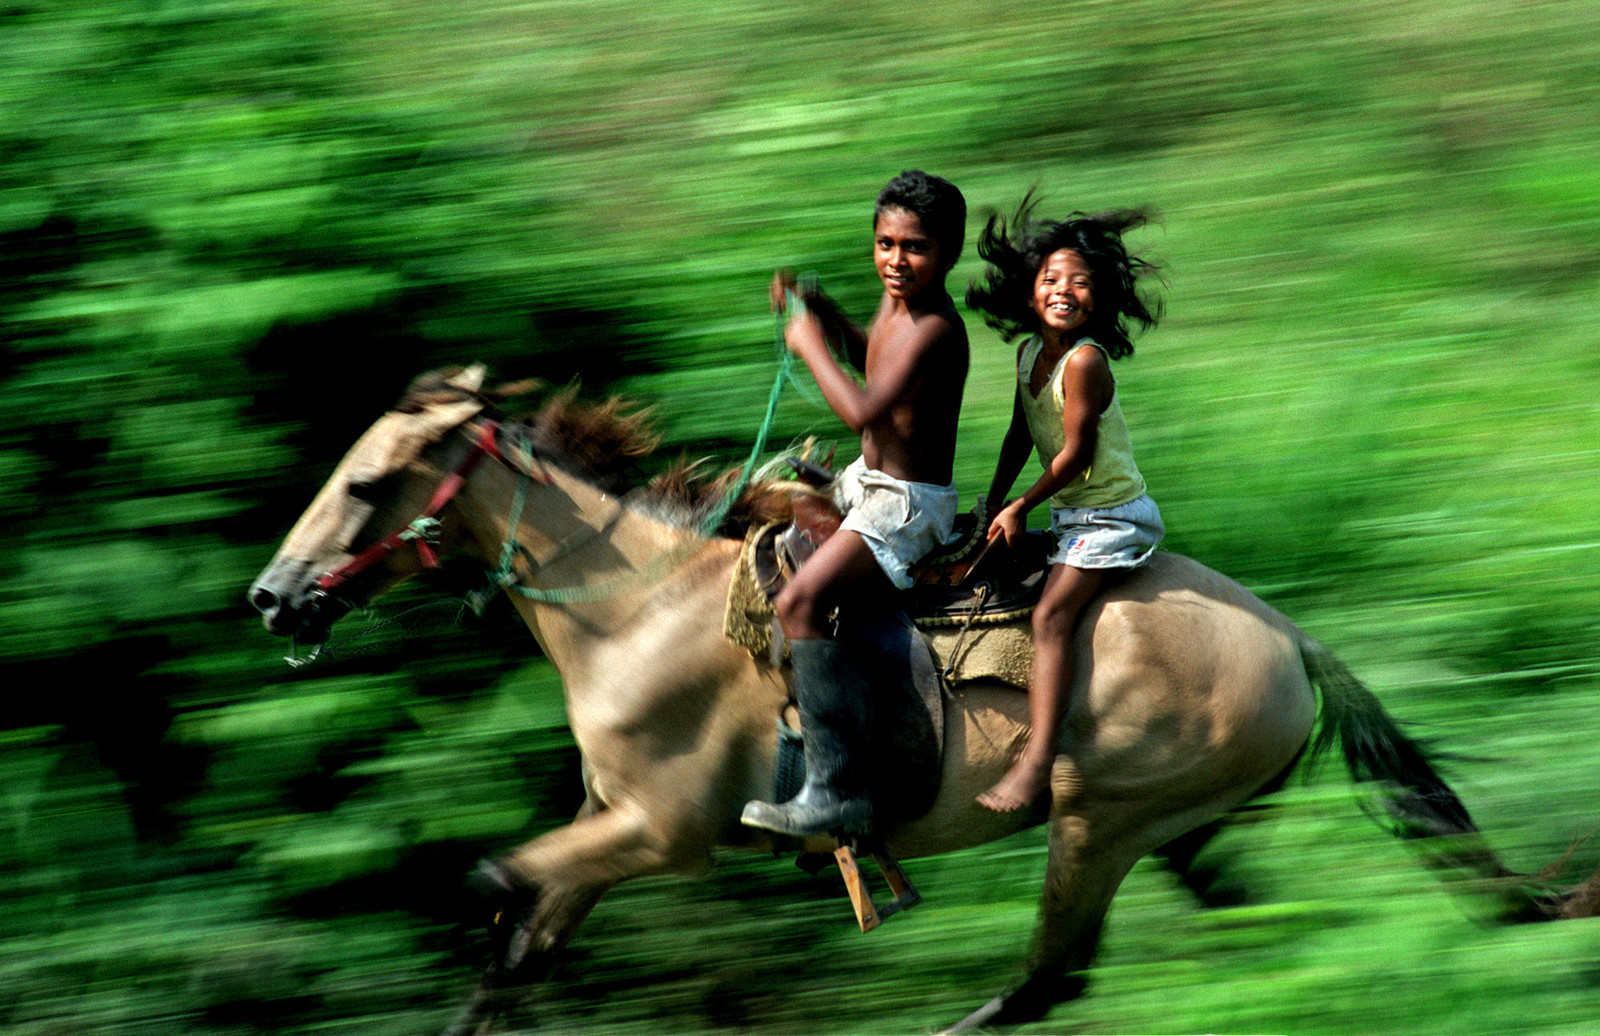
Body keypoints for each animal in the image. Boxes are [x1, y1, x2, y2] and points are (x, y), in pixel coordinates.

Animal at [249, 366, 1600, 1036]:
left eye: (366, 484)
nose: (273, 597)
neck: (632, 609)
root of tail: (1291, 640)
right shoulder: (603, 836)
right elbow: (514, 941)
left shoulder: (659, 835)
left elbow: (495, 883)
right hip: (1186, 832)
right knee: (1247, 929)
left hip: (1099, 822)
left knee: (1051, 977)